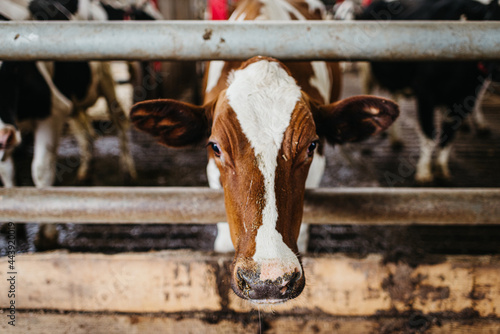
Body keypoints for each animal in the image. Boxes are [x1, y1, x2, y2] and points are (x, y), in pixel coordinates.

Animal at [358, 0, 498, 183]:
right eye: (490, 18)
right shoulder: (425, 93)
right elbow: (429, 133)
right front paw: (424, 172)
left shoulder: (466, 98)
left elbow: (449, 135)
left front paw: (442, 170)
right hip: (367, 71)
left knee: (394, 98)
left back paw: (396, 139)